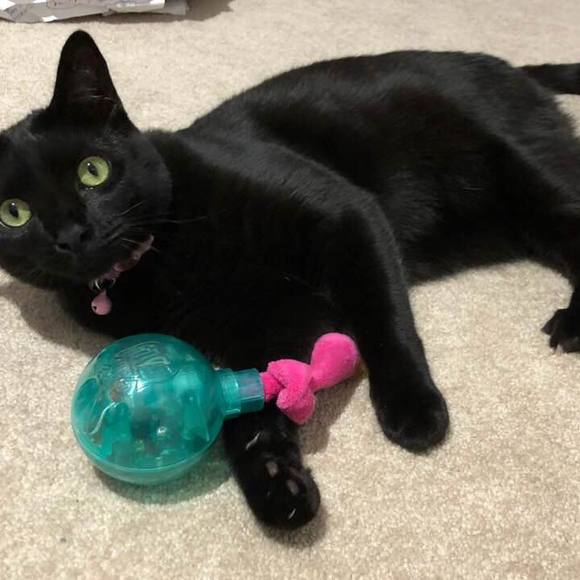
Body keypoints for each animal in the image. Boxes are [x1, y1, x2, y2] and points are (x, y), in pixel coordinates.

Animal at [1, 30, 579, 529]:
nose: (72, 235)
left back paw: (571, 325)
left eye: (92, 171)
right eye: (13, 212)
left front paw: (412, 407)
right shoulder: (275, 320)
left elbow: (385, 320)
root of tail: (510, 67)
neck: (163, 258)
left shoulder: (349, 217)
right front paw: (276, 483)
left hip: (525, 170)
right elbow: (255, 397)